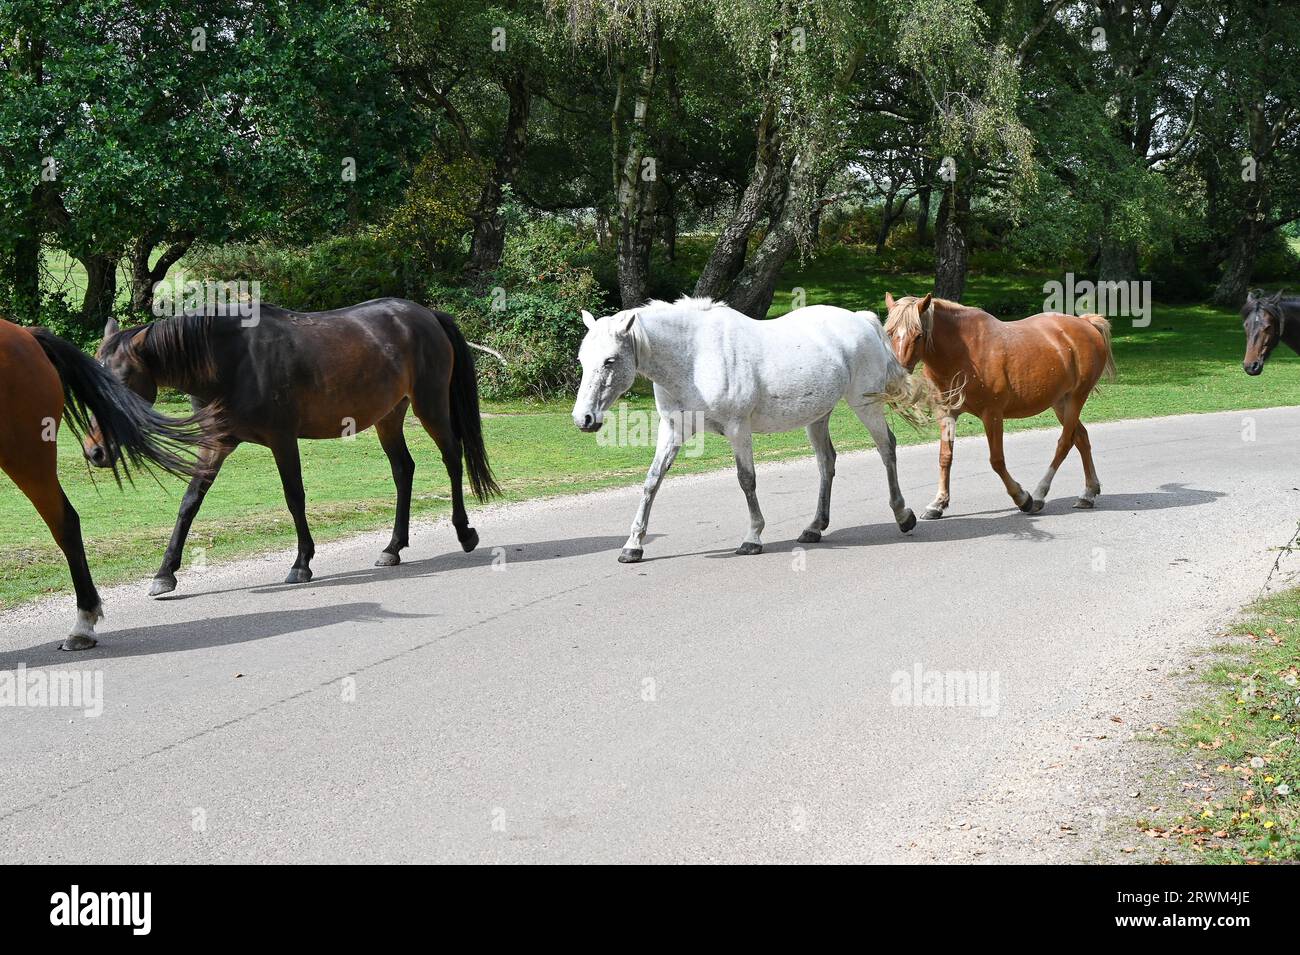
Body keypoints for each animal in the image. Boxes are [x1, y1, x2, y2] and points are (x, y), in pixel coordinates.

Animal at [90, 298, 496, 597]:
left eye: (122, 380)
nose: (96, 452)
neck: (230, 358)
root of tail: (425, 314)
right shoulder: (215, 444)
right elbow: (190, 503)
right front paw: (165, 573)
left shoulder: (282, 439)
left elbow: (294, 497)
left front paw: (301, 563)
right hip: (389, 416)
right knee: (403, 470)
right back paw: (392, 547)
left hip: (430, 405)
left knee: (452, 457)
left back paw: (464, 532)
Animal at [574, 297, 930, 561]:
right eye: (582, 359)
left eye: (609, 360)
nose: (583, 419)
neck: (695, 357)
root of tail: (861, 319)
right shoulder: (673, 431)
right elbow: (652, 482)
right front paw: (632, 545)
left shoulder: (737, 429)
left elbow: (746, 480)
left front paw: (753, 537)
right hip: (818, 417)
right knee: (826, 463)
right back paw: (814, 527)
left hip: (864, 405)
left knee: (887, 448)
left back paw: (903, 515)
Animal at [883, 297, 1118, 522]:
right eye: (889, 332)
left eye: (918, 335)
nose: (896, 376)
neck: (963, 351)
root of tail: (1086, 323)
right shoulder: (947, 413)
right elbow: (945, 458)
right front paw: (938, 503)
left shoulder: (992, 415)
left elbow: (996, 461)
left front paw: (1022, 498)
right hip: (1061, 402)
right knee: (1082, 438)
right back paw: (1088, 493)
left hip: (1075, 399)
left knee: (1065, 443)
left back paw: (1039, 494)